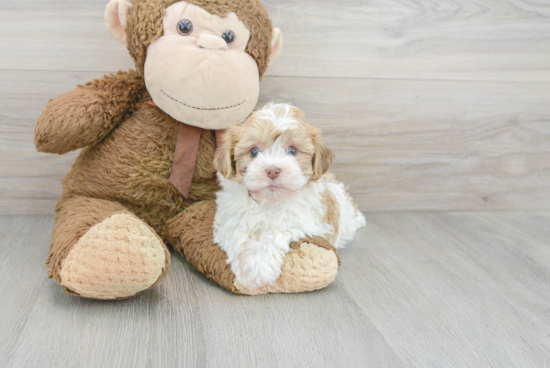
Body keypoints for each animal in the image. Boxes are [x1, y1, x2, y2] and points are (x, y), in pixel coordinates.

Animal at [215, 101, 366, 290]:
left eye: (292, 150)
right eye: (254, 152)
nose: (272, 170)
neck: (269, 202)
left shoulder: (307, 222)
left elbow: (277, 232)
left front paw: (257, 265)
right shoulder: (229, 215)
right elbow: (235, 229)